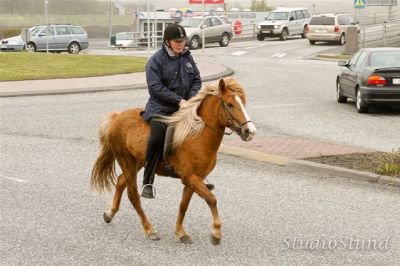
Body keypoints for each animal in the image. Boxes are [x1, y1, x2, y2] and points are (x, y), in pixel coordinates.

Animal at [90, 77, 256, 245]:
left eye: (242, 102)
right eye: (230, 104)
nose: (250, 131)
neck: (197, 135)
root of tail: (117, 117)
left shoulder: (194, 180)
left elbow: (184, 205)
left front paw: (180, 232)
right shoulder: (190, 177)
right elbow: (211, 199)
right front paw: (216, 233)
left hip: (137, 163)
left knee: (121, 182)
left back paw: (110, 213)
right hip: (127, 161)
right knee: (133, 196)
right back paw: (149, 229)